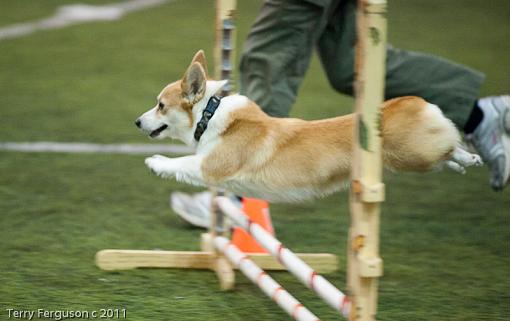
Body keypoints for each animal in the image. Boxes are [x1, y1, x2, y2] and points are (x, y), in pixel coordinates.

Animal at [134, 49, 482, 200]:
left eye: (160, 105)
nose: (136, 121)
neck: (210, 114)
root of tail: (412, 101)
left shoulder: (212, 165)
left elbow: (182, 162)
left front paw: (155, 162)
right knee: (447, 151)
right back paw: (468, 160)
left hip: (411, 154)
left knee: (446, 145)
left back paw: (473, 153)